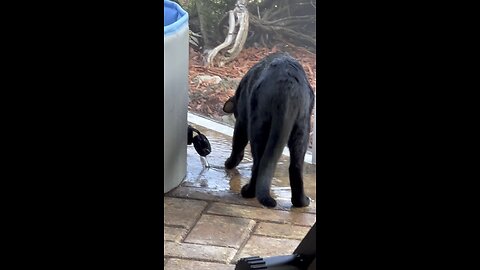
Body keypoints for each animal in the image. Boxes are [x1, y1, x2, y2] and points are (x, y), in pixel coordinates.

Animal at [224, 53, 316, 209]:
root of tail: (288, 85)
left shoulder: (242, 121)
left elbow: (237, 145)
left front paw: (229, 163)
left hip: (258, 126)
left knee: (258, 162)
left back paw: (248, 192)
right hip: (302, 130)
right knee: (296, 167)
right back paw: (301, 202)